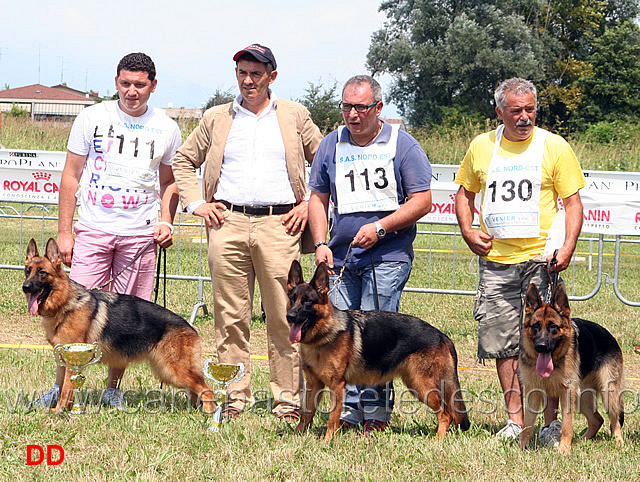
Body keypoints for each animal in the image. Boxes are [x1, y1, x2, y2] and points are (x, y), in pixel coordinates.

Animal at [22, 238, 214, 414]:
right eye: (27, 271)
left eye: (42, 272)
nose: (25, 287)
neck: (65, 303)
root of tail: (191, 328)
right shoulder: (63, 359)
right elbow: (62, 385)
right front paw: (60, 409)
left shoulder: (73, 361)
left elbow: (66, 389)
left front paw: (59, 412)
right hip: (167, 371)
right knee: (196, 391)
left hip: (173, 370)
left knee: (207, 389)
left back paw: (209, 416)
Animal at [286, 260, 470, 440]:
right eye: (292, 299)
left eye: (308, 301)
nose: (290, 316)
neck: (323, 336)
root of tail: (442, 335)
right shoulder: (313, 384)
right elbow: (306, 413)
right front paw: (297, 435)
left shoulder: (336, 386)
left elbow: (332, 417)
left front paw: (327, 441)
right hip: (416, 384)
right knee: (449, 412)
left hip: (422, 386)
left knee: (446, 414)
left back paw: (438, 438)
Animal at [516, 280, 624, 454]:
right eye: (536, 326)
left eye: (553, 326)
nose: (541, 346)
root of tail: (609, 335)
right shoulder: (533, 391)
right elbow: (527, 424)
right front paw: (522, 447)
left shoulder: (567, 392)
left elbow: (566, 425)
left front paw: (564, 450)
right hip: (581, 396)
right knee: (597, 419)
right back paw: (583, 440)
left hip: (608, 394)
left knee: (615, 420)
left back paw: (619, 442)